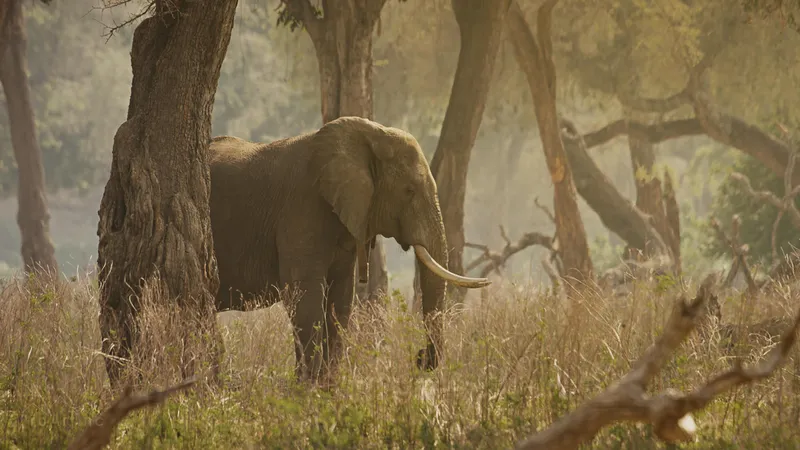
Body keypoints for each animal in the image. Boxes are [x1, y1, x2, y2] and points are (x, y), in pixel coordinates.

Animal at [208, 116, 489, 382]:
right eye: (409, 191)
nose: (420, 359)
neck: (371, 136)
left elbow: (340, 297)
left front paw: (327, 387)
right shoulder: (301, 209)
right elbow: (304, 296)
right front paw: (307, 389)